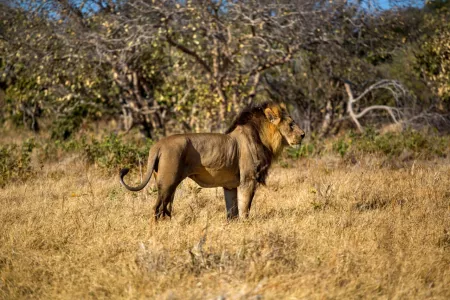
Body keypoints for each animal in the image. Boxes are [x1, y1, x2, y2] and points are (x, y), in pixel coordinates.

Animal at [118, 102, 306, 220]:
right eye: (291, 124)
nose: (303, 135)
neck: (262, 137)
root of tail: (157, 145)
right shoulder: (248, 179)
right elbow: (245, 207)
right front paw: (246, 224)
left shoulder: (230, 185)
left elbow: (232, 211)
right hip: (167, 182)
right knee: (157, 209)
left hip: (168, 184)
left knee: (166, 208)